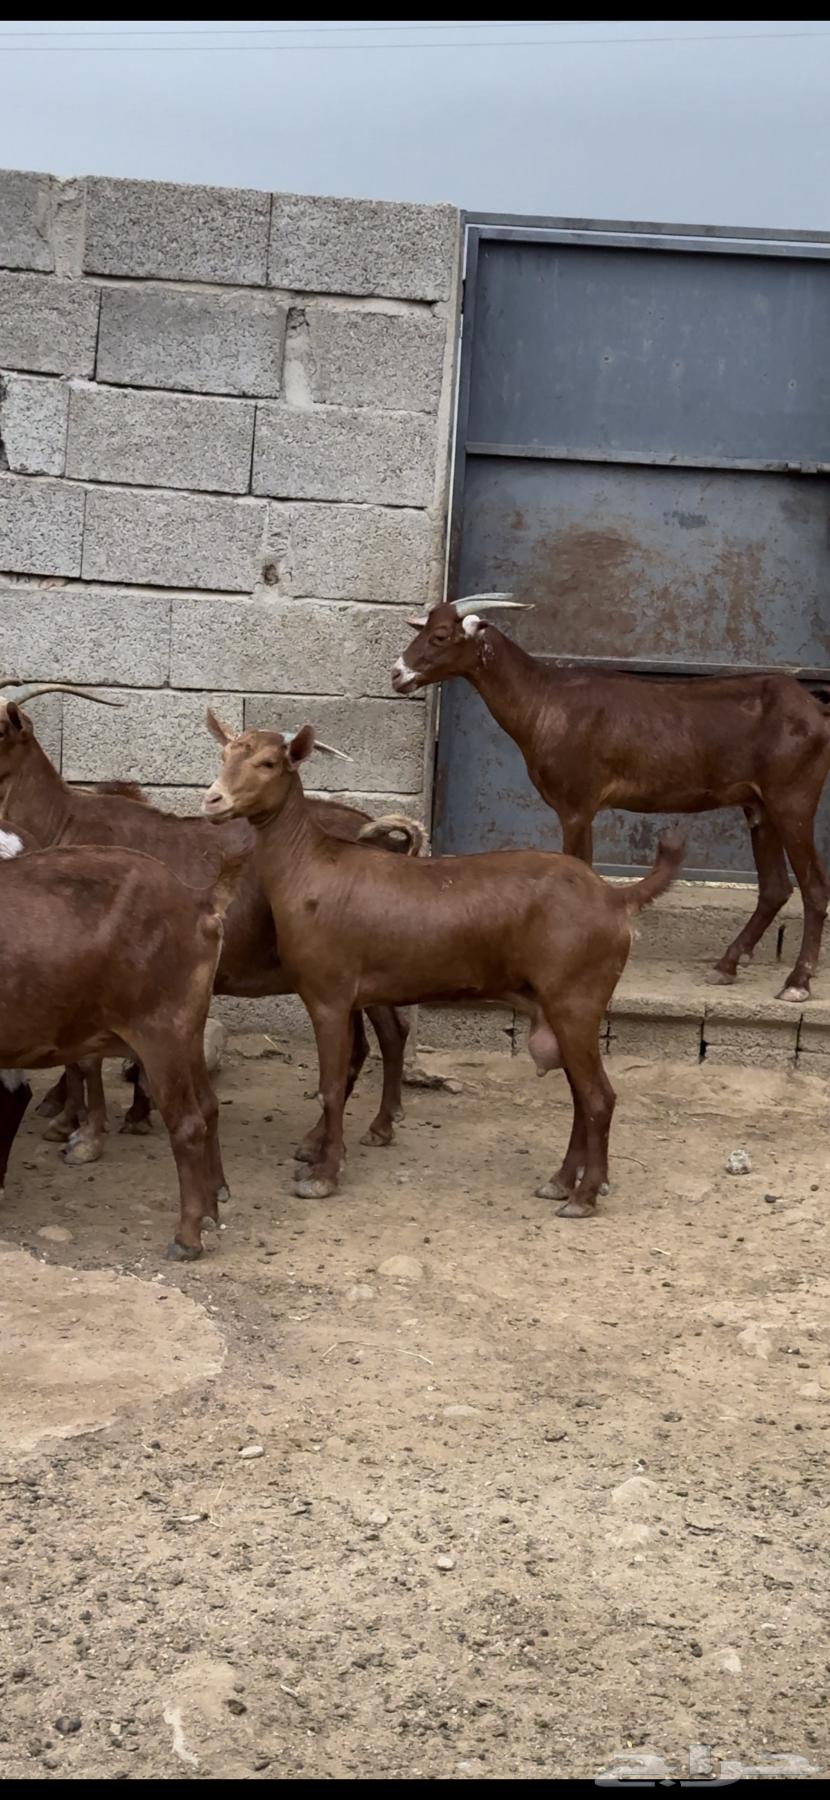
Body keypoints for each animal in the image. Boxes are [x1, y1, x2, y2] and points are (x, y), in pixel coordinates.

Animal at [0, 687, 422, 1164]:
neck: (64, 821)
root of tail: (383, 836)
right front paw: (122, 1113)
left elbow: (86, 1058)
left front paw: (80, 1128)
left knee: (389, 1033)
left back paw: (372, 1127)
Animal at [0, 830, 244, 1259]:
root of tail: (198, 902)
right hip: (188, 1031)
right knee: (209, 1105)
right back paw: (211, 1209)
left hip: (162, 1032)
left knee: (188, 1124)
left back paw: (187, 1238)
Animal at [202, 714, 683, 1217]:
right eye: (225, 755)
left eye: (268, 762)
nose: (213, 799)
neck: (309, 867)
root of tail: (615, 898)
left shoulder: (328, 994)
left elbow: (330, 1086)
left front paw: (323, 1176)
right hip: (562, 1005)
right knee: (579, 1096)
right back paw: (560, 1182)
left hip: (578, 997)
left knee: (598, 1097)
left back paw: (584, 1196)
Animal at [392, 597, 830, 1002]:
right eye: (423, 628)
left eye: (440, 635)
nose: (398, 674)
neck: (544, 701)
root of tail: (815, 709)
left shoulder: (576, 805)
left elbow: (580, 864)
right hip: (761, 806)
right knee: (775, 887)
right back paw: (726, 965)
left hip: (793, 799)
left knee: (813, 887)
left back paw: (797, 983)